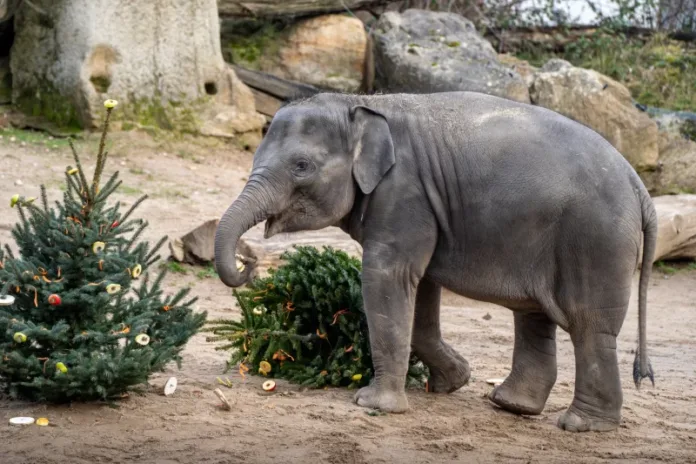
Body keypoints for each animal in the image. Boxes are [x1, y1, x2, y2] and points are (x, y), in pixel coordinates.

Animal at [215, 89, 656, 432]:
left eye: (302, 166)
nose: (248, 261)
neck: (360, 103)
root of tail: (639, 185)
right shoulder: (421, 205)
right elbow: (420, 287)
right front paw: (452, 383)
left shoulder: (403, 193)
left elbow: (387, 278)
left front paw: (374, 404)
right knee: (534, 314)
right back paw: (511, 404)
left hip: (596, 239)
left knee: (589, 325)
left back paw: (582, 424)